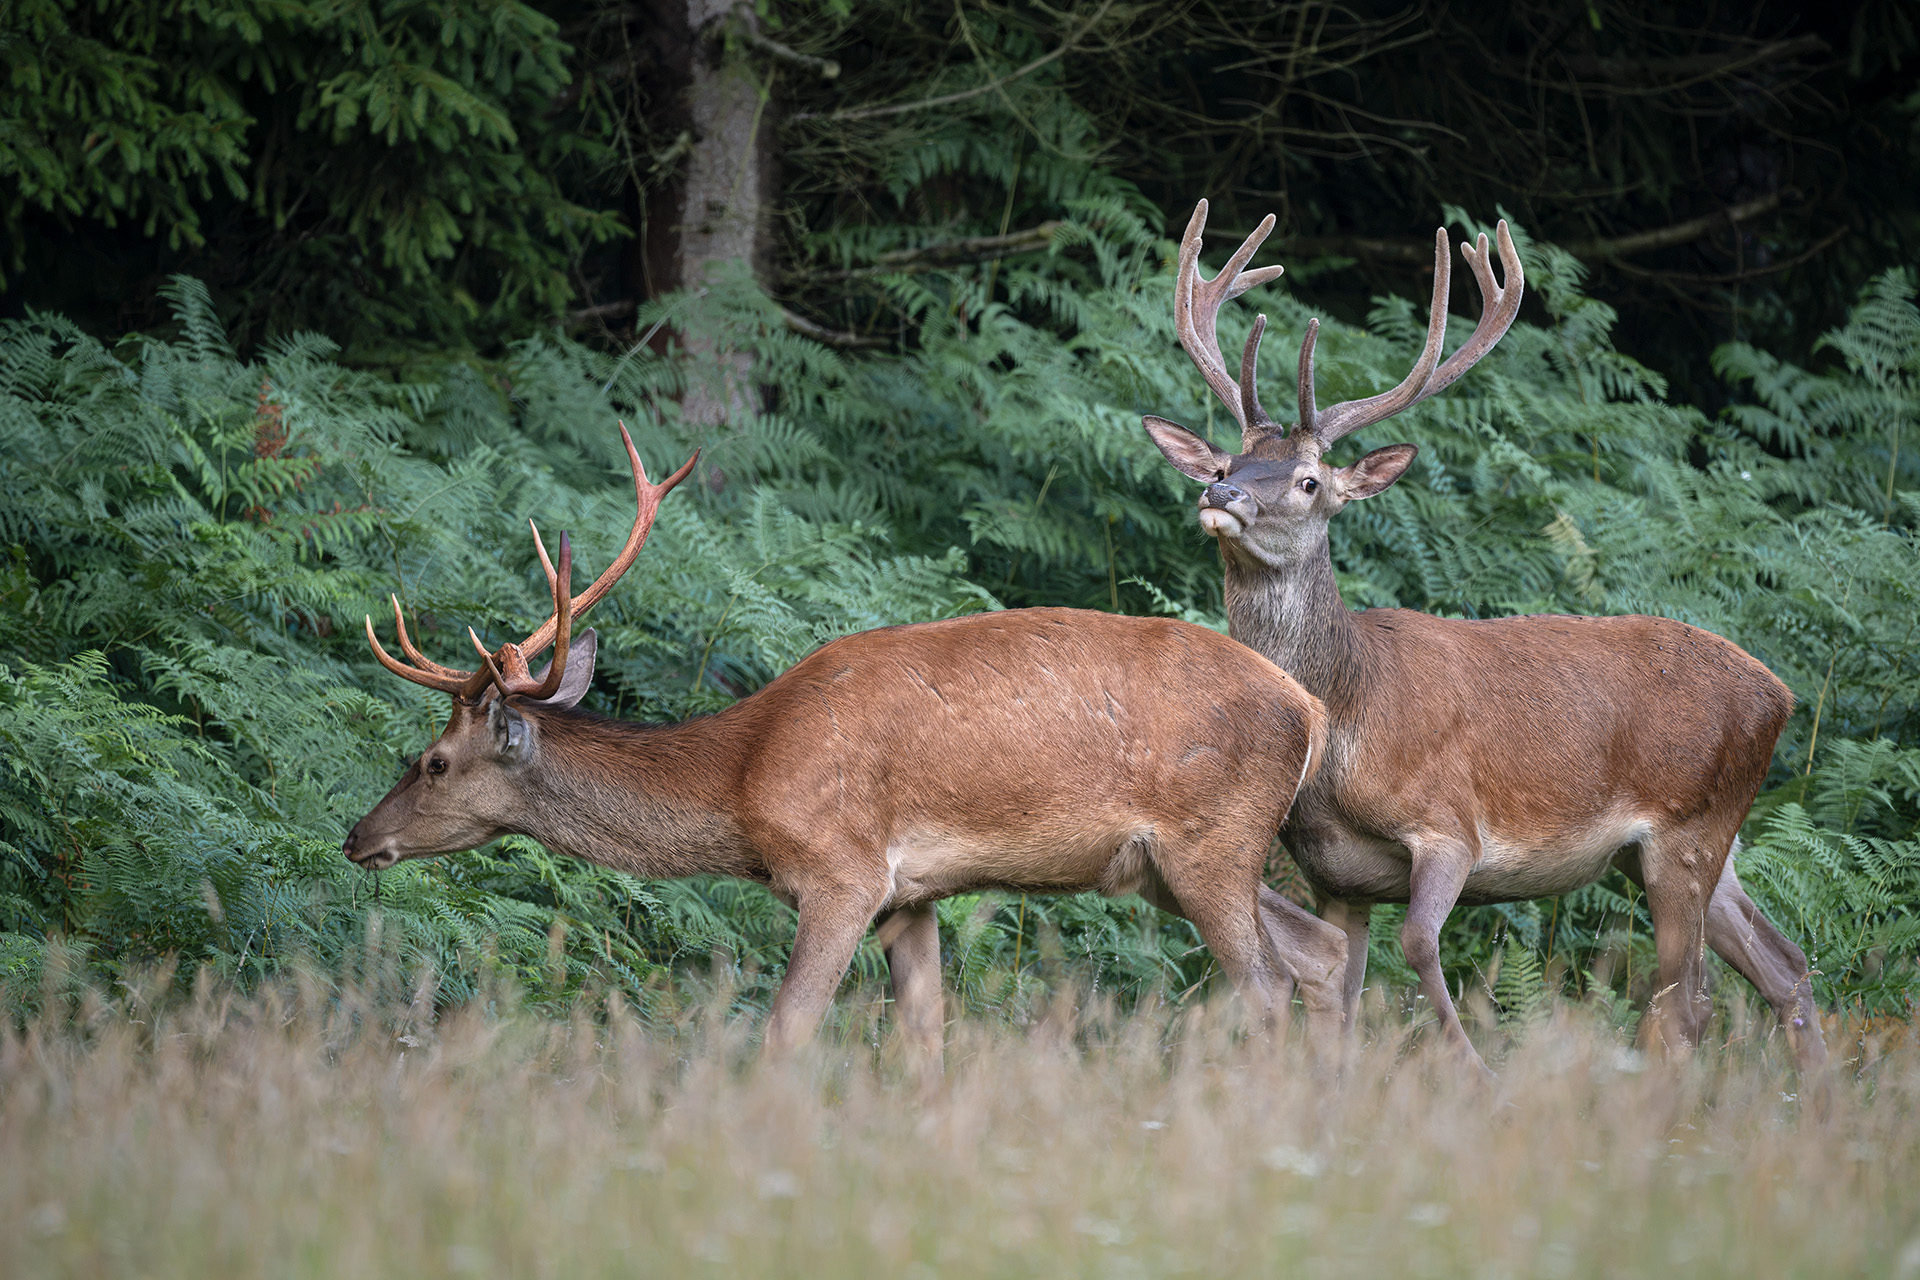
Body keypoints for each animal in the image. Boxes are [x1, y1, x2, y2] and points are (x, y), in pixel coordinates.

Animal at [343, 425, 1351, 1062]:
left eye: (433, 762)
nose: (358, 837)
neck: (744, 781)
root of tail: (1310, 710)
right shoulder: (913, 895)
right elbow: (924, 1038)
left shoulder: (841, 872)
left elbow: (787, 1028)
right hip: (1178, 866)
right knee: (1320, 950)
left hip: (1212, 842)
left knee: (1266, 988)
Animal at [1139, 199, 1828, 1074]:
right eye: (1228, 461)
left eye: (1310, 481)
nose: (1221, 494)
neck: (1343, 725)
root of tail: (1781, 695)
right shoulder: (1337, 875)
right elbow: (1342, 987)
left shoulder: (1450, 824)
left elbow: (1420, 946)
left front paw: (1471, 1068)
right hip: (1707, 846)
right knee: (1785, 963)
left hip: (1690, 827)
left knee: (1689, 999)